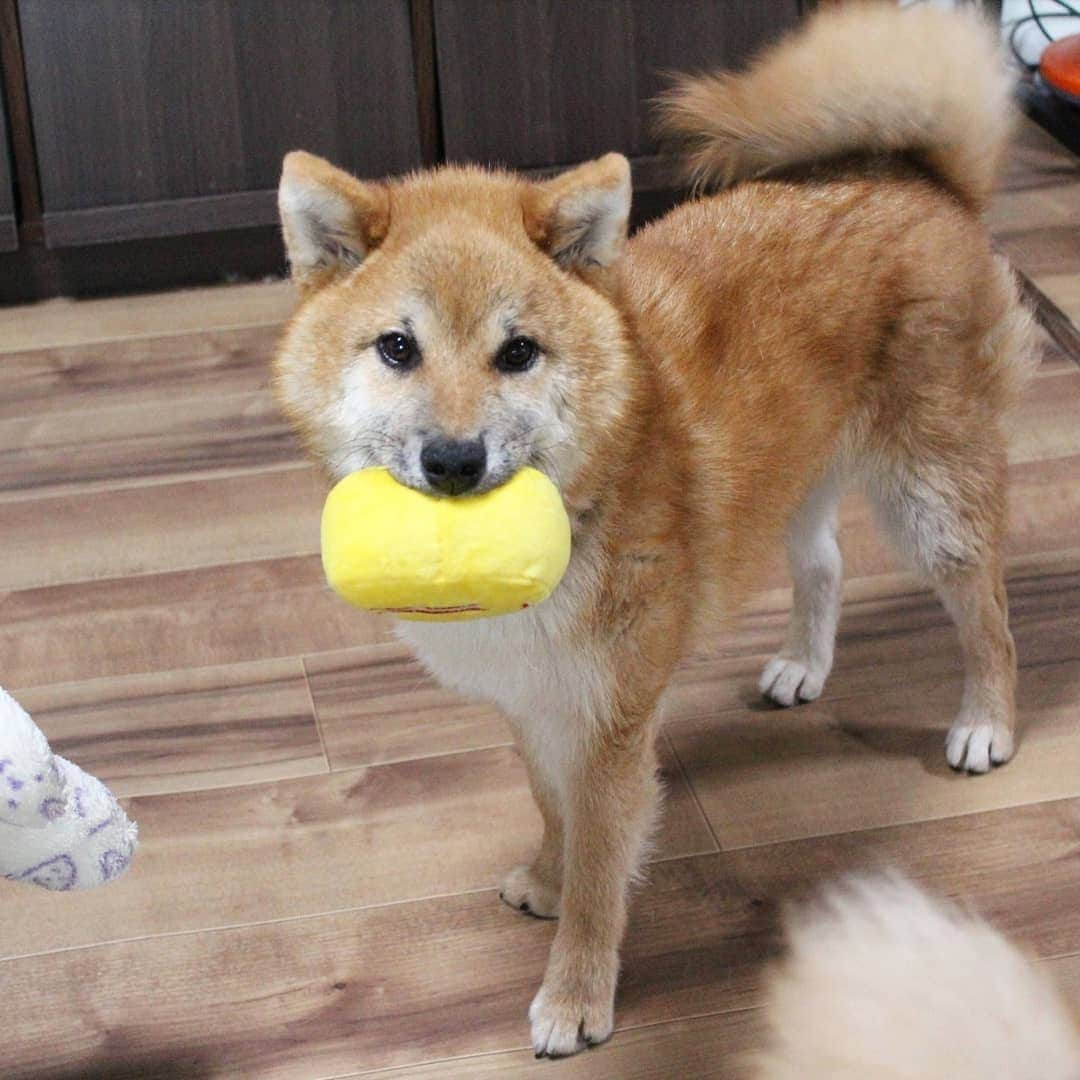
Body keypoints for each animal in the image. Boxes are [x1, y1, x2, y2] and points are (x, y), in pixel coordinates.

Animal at [274, 0, 1041, 1058]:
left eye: (518, 353)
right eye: (397, 347)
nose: (455, 460)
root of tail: (917, 178)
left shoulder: (611, 722)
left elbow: (604, 868)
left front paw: (576, 992)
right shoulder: (537, 700)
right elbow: (550, 808)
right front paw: (546, 877)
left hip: (932, 500)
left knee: (989, 617)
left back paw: (985, 725)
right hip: (791, 480)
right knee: (826, 564)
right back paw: (803, 666)